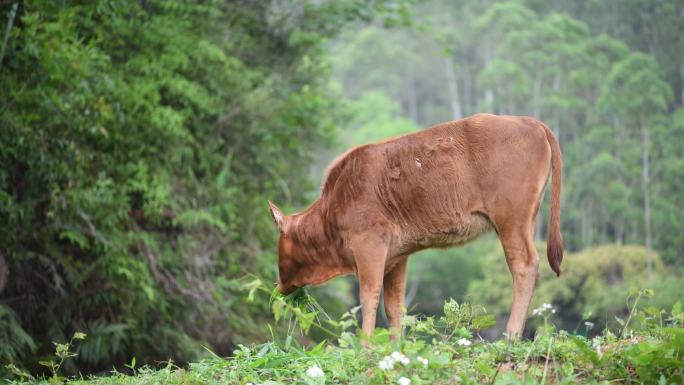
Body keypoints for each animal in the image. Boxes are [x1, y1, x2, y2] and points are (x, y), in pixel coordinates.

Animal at [268, 113, 560, 340]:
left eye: (280, 240)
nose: (279, 285)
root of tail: (530, 122)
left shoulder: (370, 245)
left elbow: (369, 298)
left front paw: (366, 347)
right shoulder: (397, 256)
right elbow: (394, 307)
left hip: (511, 219)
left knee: (524, 266)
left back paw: (511, 336)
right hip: (527, 221)